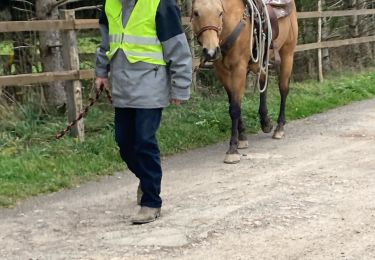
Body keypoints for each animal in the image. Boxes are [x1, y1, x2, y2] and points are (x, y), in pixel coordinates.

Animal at [192, 0, 298, 164]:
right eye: (196, 13)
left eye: (220, 13)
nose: (210, 51)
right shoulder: (221, 70)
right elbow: (233, 102)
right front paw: (242, 137)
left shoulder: (239, 68)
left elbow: (235, 108)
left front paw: (232, 149)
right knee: (263, 82)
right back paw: (265, 122)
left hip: (288, 53)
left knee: (283, 89)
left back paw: (279, 128)